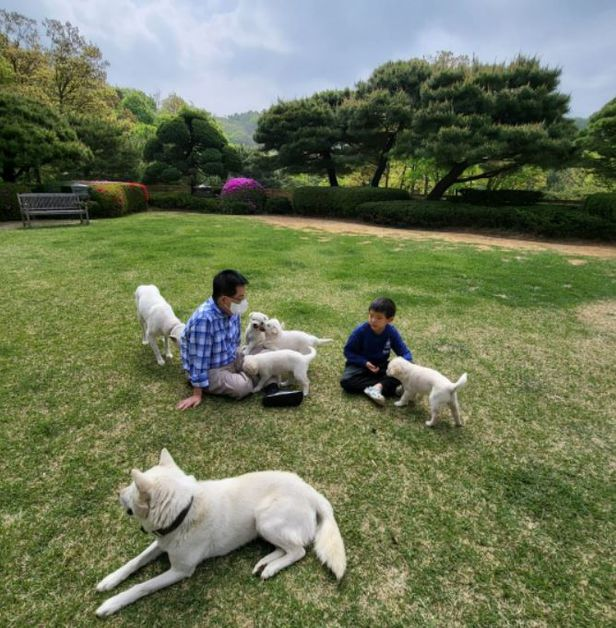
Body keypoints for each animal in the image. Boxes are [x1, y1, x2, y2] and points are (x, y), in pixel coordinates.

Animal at [96, 448, 346, 616]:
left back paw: (271, 568)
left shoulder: (180, 570)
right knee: (286, 548)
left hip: (264, 519)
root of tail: (313, 493)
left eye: (131, 490)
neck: (185, 511)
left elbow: (142, 586)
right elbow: (135, 561)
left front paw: (111, 603)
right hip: (262, 526)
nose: (118, 493)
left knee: (298, 551)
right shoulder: (162, 541)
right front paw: (109, 580)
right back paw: (265, 562)